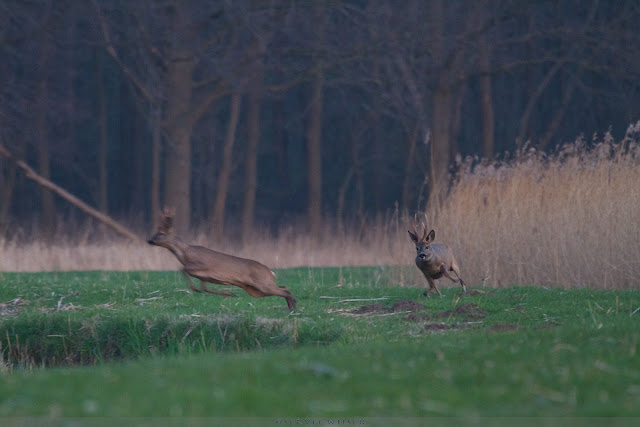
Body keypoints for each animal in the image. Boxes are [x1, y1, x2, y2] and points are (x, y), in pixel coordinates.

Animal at [146, 210, 296, 310]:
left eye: (161, 233)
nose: (149, 240)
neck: (185, 254)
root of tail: (270, 272)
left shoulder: (203, 265)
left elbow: (182, 269)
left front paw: (195, 288)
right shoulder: (203, 277)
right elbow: (205, 288)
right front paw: (230, 293)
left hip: (262, 283)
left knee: (284, 290)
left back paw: (293, 307)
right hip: (254, 290)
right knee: (283, 287)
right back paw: (290, 307)